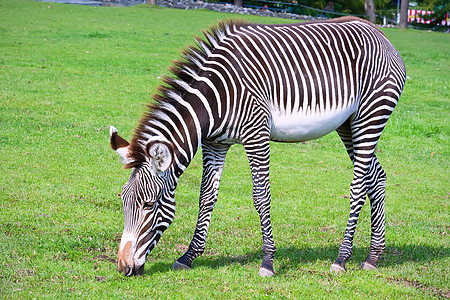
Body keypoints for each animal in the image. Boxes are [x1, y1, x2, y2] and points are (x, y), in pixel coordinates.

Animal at [110, 17, 408, 276]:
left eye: (148, 205)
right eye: (122, 200)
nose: (123, 268)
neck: (215, 99)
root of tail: (379, 33)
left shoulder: (257, 134)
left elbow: (261, 196)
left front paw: (267, 261)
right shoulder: (215, 143)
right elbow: (206, 197)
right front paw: (188, 257)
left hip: (371, 115)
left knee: (359, 185)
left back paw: (342, 258)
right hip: (349, 124)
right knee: (376, 177)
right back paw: (372, 257)